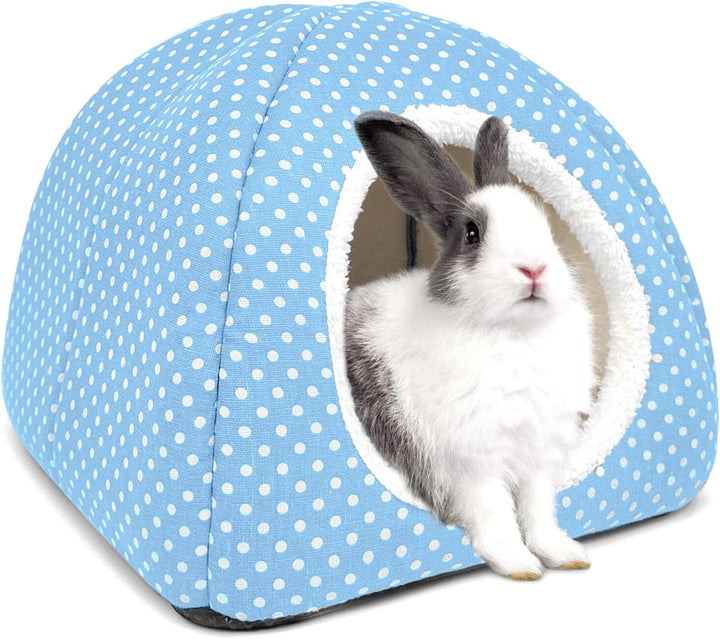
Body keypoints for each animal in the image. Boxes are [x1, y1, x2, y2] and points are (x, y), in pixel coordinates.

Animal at [345, 111, 596, 580]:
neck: (514, 332)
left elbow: (538, 511)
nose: (534, 268)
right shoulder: (472, 462)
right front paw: (519, 565)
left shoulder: (539, 456)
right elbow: (495, 513)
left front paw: (566, 555)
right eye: (472, 233)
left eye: (546, 226)